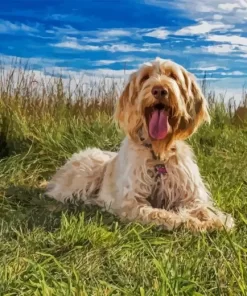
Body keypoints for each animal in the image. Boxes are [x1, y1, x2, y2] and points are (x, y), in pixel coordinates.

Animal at [45, 57, 233, 232]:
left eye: (172, 75)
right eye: (145, 77)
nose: (159, 90)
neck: (158, 154)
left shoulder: (191, 196)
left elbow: (205, 209)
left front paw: (218, 220)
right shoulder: (132, 203)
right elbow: (163, 215)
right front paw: (191, 222)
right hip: (89, 172)